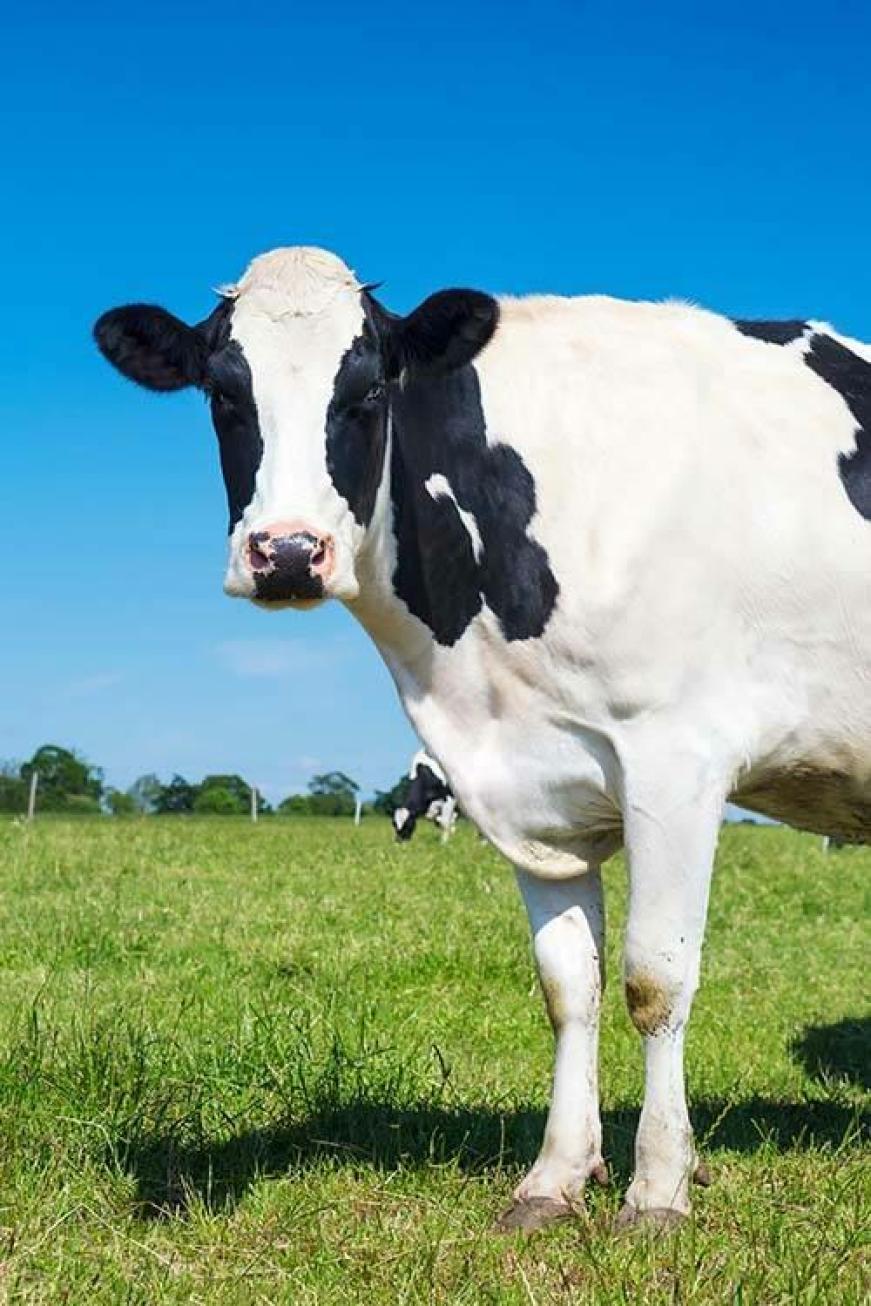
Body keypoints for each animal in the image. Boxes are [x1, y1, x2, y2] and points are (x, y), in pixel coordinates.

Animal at [94, 246, 871, 1232]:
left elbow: (652, 980)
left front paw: (657, 1189)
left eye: (368, 392)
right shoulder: (528, 786)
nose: (288, 554)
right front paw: (554, 1178)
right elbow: (568, 987)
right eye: (224, 394)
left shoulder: (677, 759)